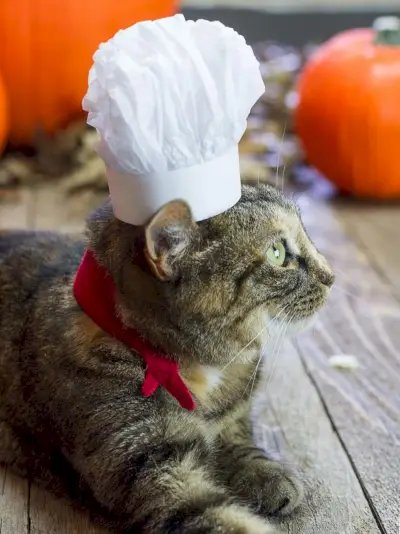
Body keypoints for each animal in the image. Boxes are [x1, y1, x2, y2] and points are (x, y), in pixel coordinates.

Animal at [0, 183, 334, 532]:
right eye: (277, 253)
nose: (331, 275)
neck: (198, 370)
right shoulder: (150, 466)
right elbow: (214, 515)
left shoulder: (233, 413)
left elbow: (238, 436)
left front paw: (267, 474)